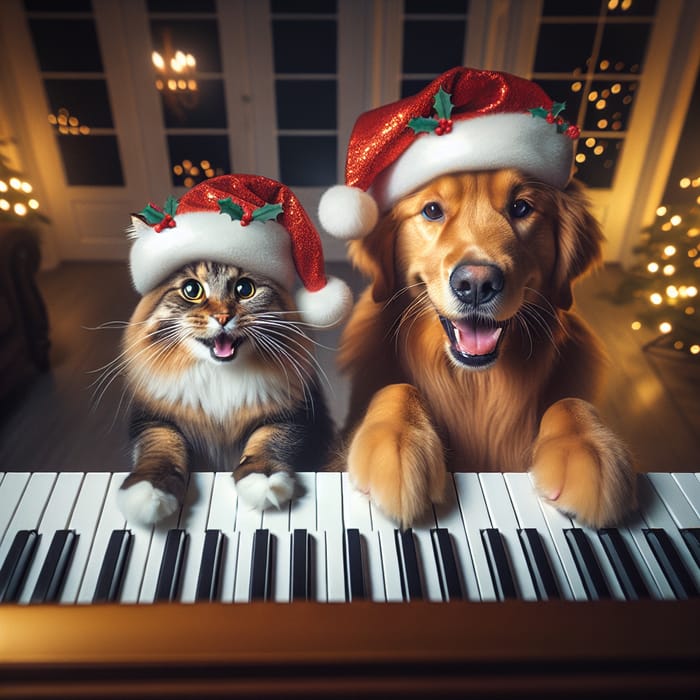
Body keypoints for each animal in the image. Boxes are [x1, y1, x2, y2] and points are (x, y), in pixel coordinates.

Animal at [116, 262, 334, 524]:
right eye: (191, 290)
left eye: (245, 289)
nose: (222, 317)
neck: (220, 375)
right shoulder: (153, 418)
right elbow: (161, 446)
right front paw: (149, 492)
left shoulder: (291, 415)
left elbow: (268, 440)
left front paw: (263, 479)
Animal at [336, 170, 636, 528]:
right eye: (432, 210)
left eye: (521, 208)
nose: (476, 284)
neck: (476, 384)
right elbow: (399, 386)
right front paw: (395, 444)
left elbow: (569, 400)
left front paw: (588, 451)